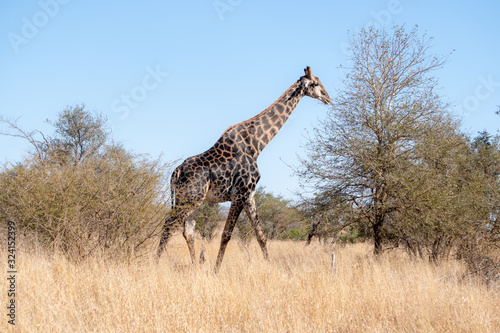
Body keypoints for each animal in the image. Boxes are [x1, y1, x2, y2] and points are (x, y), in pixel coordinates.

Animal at [157, 66, 332, 272]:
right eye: (315, 83)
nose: (328, 98)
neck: (257, 144)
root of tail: (175, 173)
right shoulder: (240, 192)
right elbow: (226, 234)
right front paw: (216, 270)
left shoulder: (249, 194)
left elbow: (261, 235)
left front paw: (269, 265)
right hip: (189, 198)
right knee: (169, 225)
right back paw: (155, 264)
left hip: (193, 200)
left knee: (188, 231)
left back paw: (195, 267)